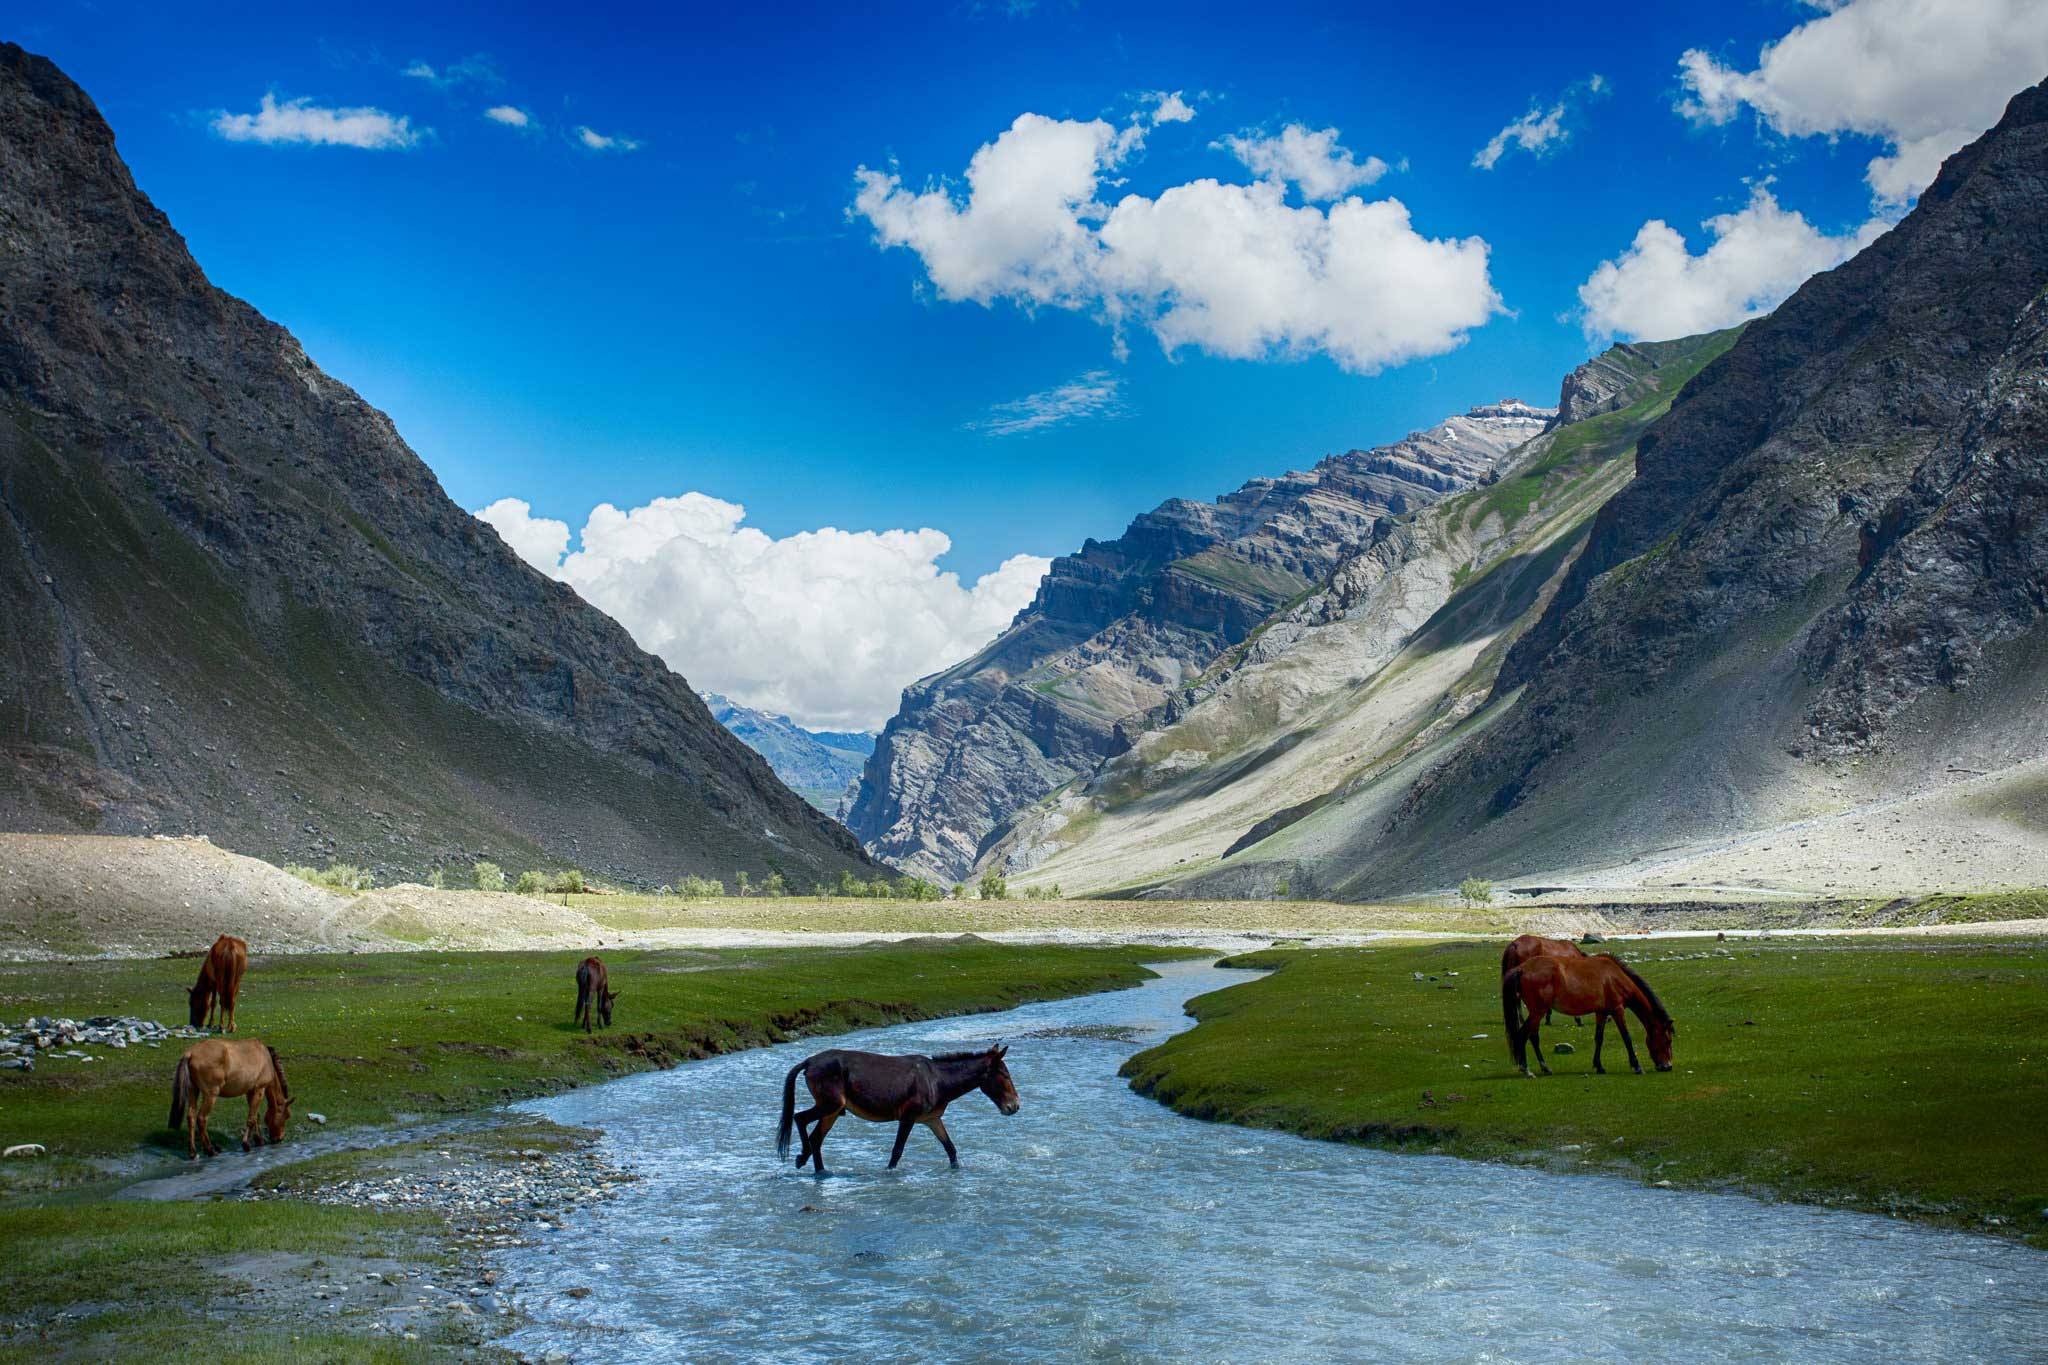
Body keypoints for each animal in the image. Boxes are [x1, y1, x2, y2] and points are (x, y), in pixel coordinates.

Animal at [770, 1047, 1019, 1178]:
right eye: (1004, 1075)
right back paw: (802, 1158)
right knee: (799, 1118)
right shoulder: (908, 1117)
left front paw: (956, 1172)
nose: (1014, 1106)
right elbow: (897, 1151)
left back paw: (820, 1171)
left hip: (833, 1110)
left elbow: (950, 1149)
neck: (937, 1080)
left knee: (816, 1139)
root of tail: (809, 1061)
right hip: (830, 1105)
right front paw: (889, 1173)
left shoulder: (932, 1119)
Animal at [1499, 957, 1671, 1080]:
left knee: (1533, 1037)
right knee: (1523, 1035)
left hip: (1536, 1013)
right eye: (1668, 1040)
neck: (1615, 977)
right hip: (1538, 1012)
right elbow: (1626, 1038)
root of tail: (1522, 968)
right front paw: (1637, 1066)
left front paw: (1599, 1066)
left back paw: (1545, 1068)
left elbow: (1599, 1038)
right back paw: (1526, 1070)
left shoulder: (1602, 1012)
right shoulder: (1617, 1010)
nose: (1668, 1066)